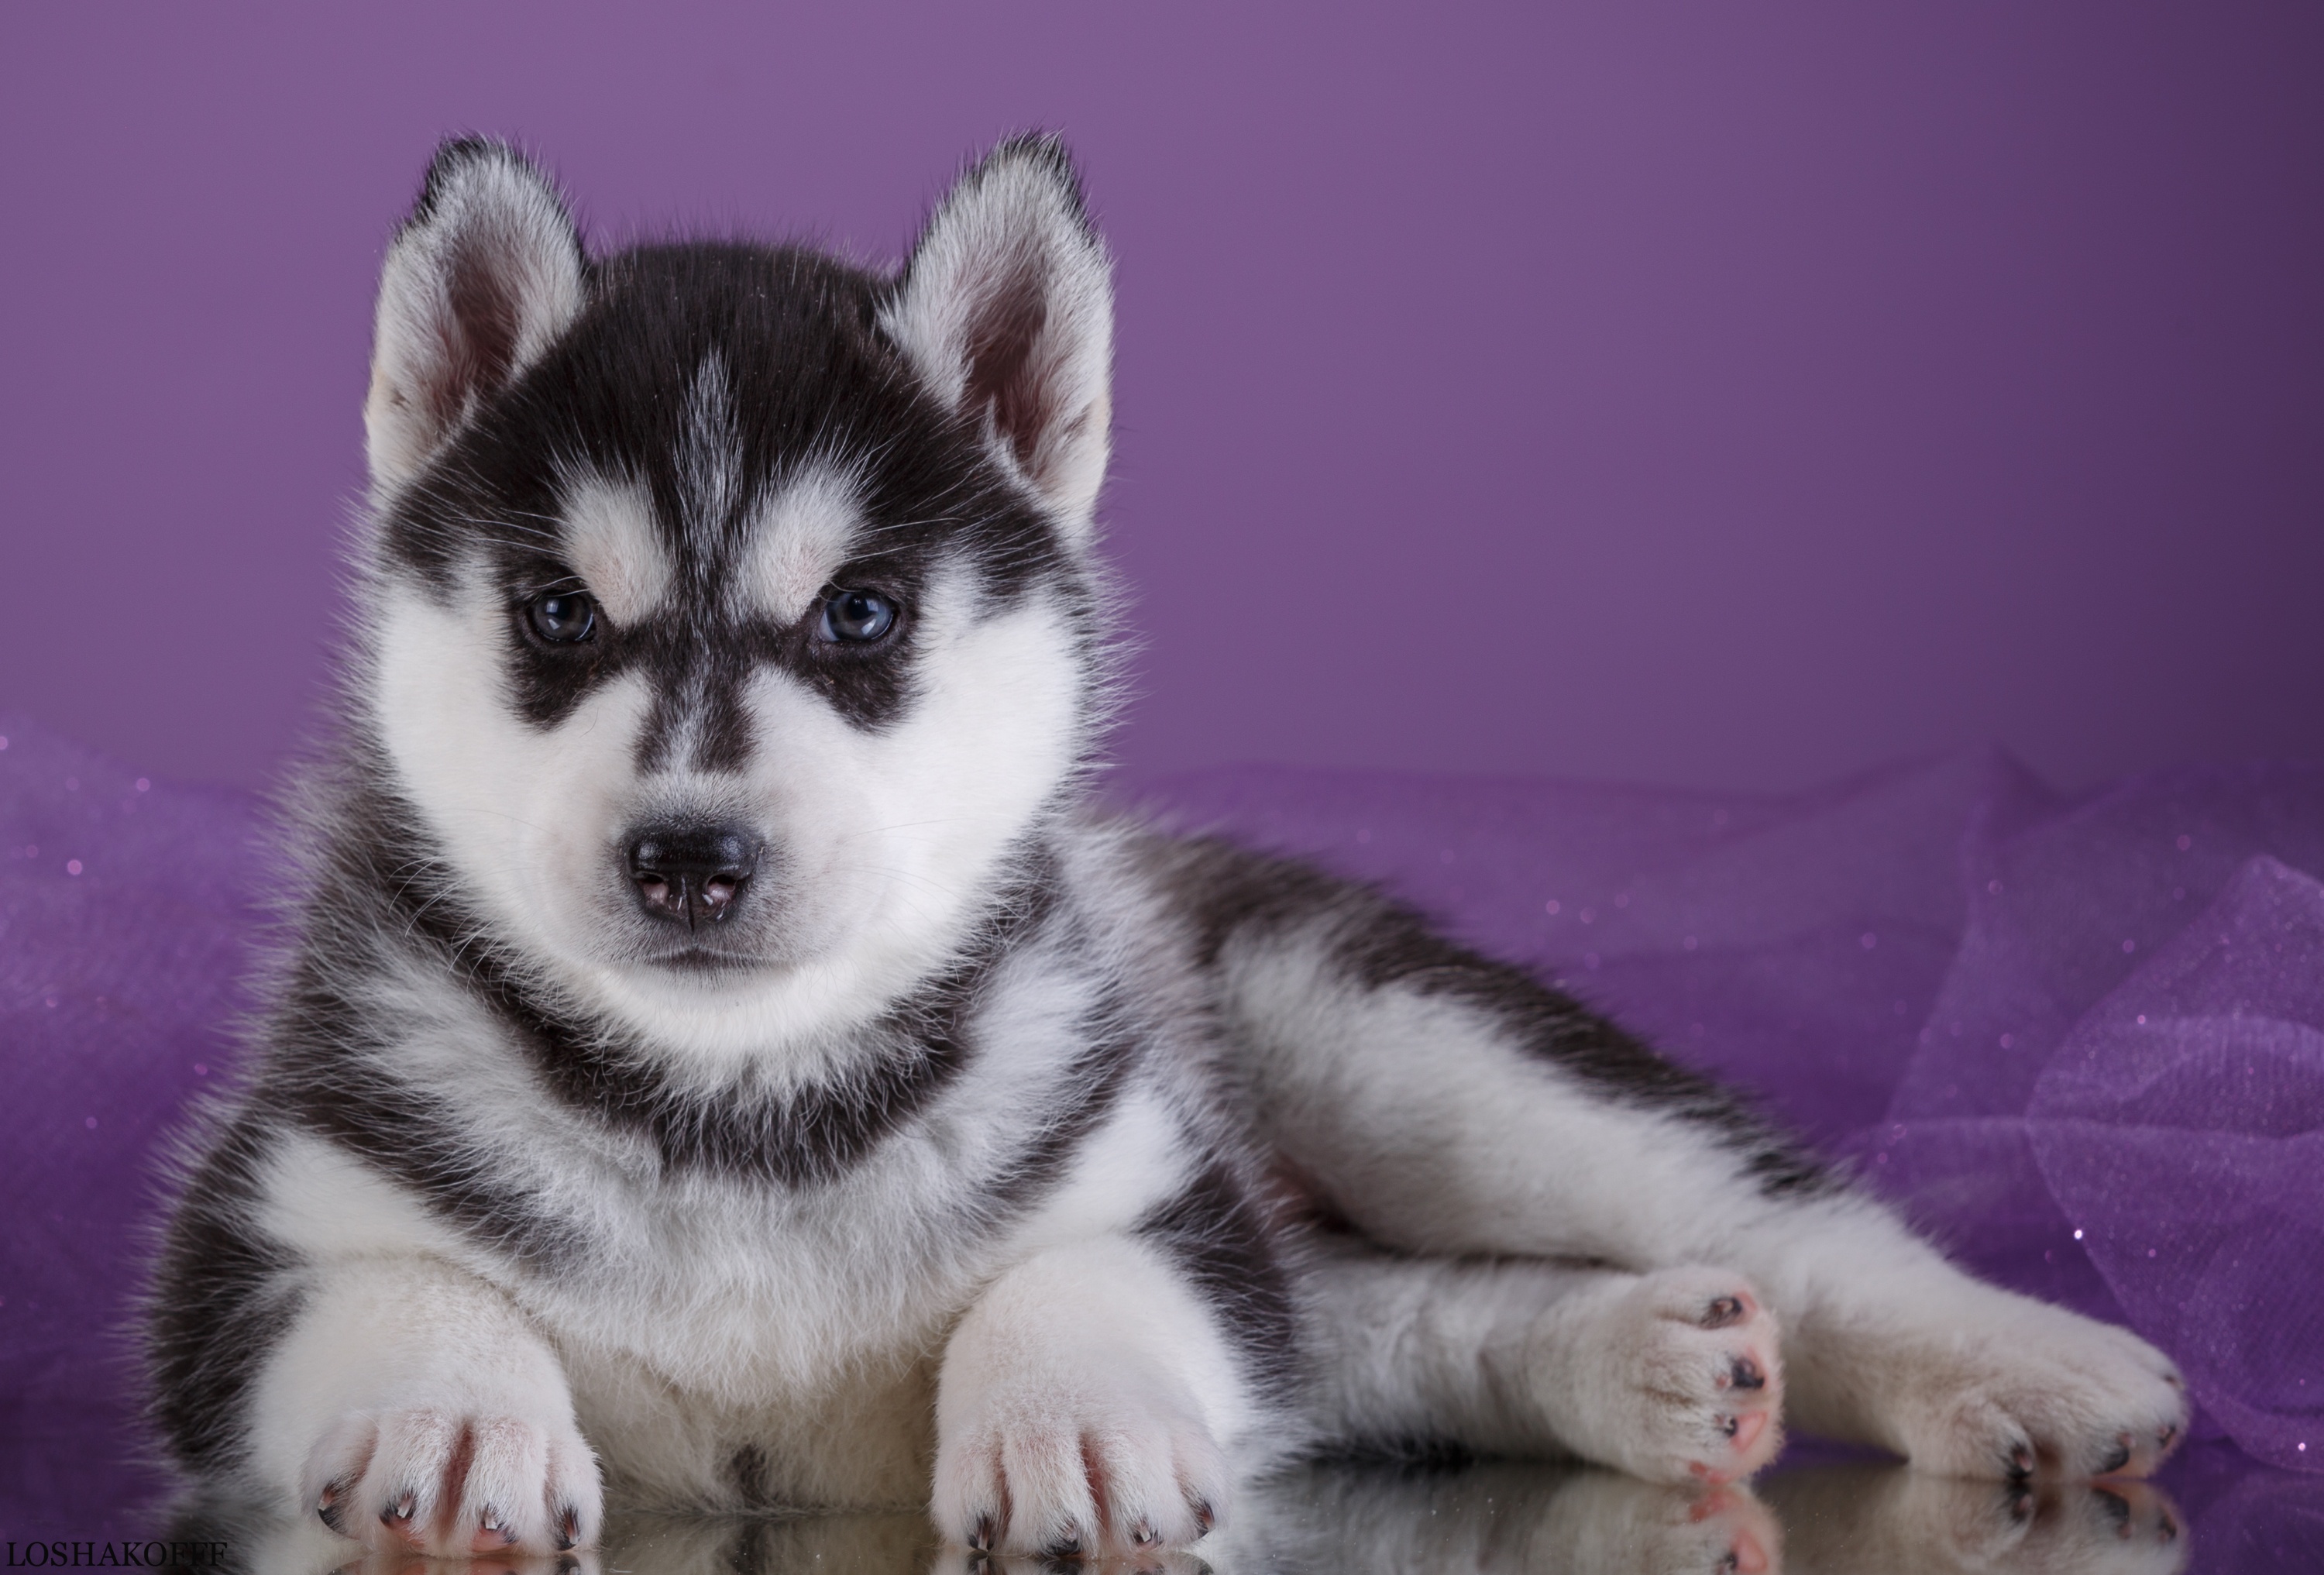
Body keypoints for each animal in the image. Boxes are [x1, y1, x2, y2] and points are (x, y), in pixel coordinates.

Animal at [150, 139, 2194, 1570]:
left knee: (1774, 1215)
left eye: (865, 614)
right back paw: (1646, 1356)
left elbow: (1081, 1276)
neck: (739, 1115)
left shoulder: (1157, 1184)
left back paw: (2017, 1360)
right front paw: (456, 1405)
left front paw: (1068, 1418)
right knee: (1373, 1313)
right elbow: (404, 1283)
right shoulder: (245, 1236)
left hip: (1387, 1041)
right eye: (559, 617)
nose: (689, 858)